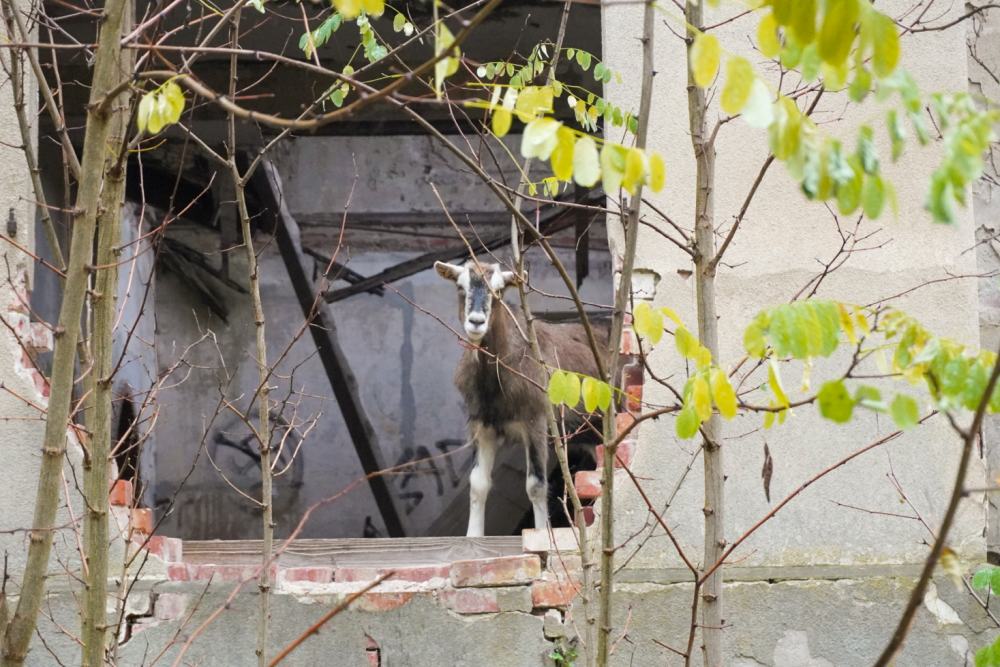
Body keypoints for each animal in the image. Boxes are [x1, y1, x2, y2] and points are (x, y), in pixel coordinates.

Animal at [435, 259, 608, 537]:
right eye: (461, 287)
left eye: (499, 291)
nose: (476, 321)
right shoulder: (482, 424)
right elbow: (478, 482)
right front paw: (473, 537)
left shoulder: (536, 421)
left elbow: (536, 484)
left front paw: (541, 535)